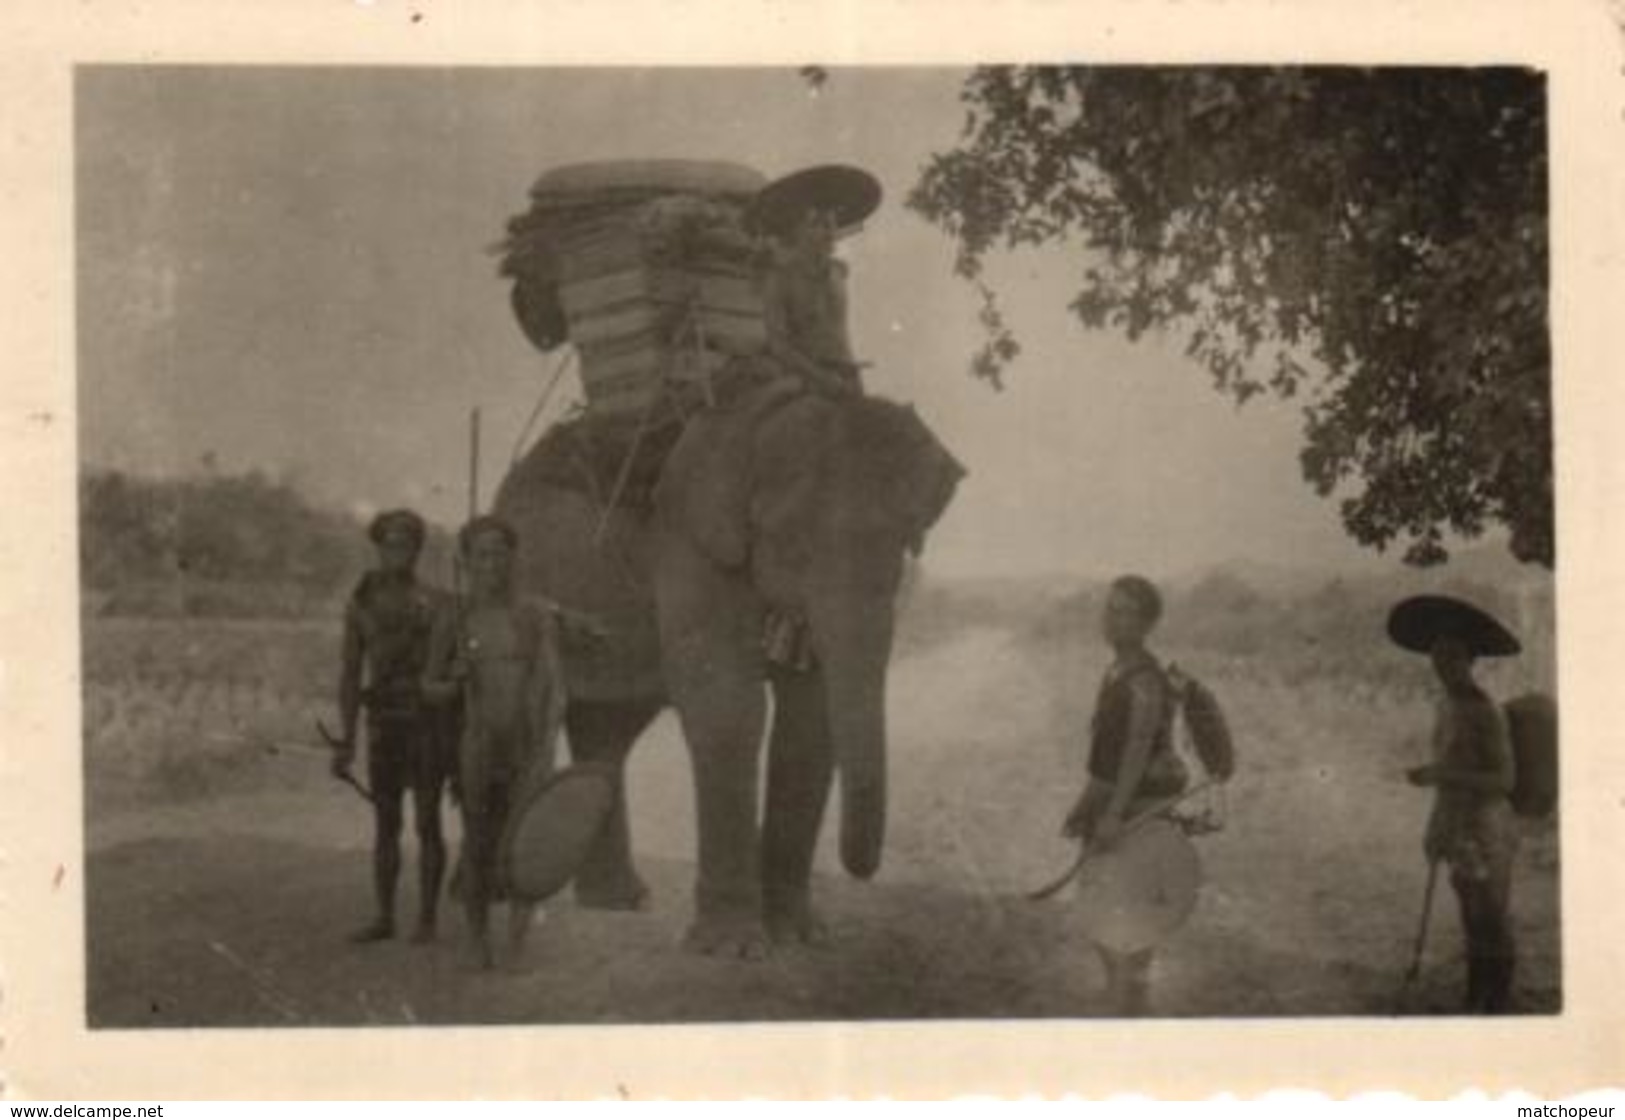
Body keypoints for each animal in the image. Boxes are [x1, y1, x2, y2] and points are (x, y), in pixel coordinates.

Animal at [487, 383, 955, 949]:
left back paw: (621, 903)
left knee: (609, 727)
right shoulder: (692, 541)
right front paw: (731, 947)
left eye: (906, 540)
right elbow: (727, 704)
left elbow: (808, 714)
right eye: (791, 541)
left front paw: (799, 936)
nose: (862, 870)